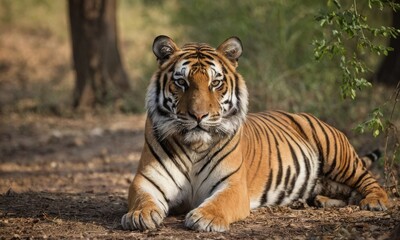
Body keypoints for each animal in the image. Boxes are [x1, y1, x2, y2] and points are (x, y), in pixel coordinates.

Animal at [120, 35, 390, 232]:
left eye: (215, 83)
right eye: (181, 82)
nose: (199, 116)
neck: (195, 146)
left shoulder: (233, 185)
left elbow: (219, 202)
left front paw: (205, 218)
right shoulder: (146, 179)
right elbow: (142, 198)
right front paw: (139, 215)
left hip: (337, 154)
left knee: (367, 180)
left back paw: (375, 201)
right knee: (346, 192)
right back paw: (315, 201)